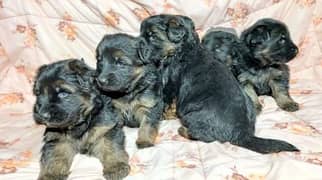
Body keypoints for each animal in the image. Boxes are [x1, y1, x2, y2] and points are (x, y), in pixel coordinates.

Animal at [141, 14, 300, 154]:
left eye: (152, 36)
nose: (140, 50)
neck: (186, 48)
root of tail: (242, 133)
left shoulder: (170, 83)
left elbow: (168, 101)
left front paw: (166, 115)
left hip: (193, 116)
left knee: (205, 136)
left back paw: (183, 130)